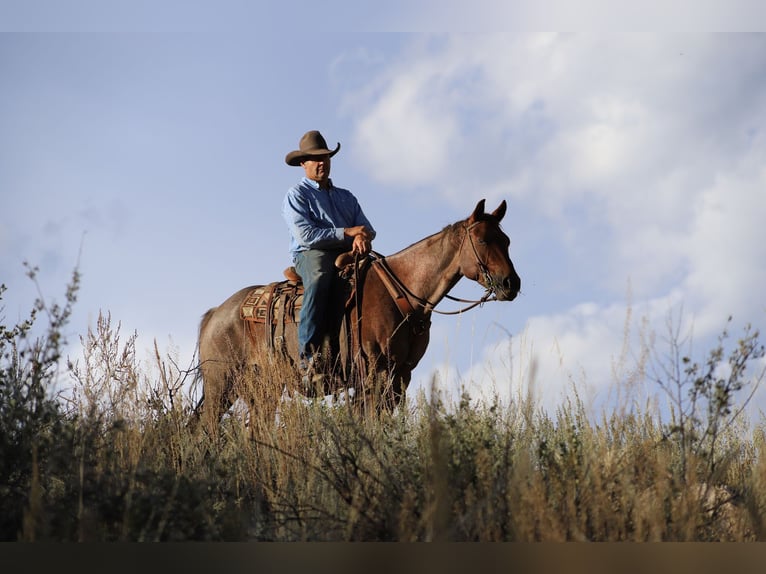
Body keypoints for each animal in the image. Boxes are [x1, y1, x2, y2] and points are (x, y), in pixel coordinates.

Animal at [195, 198, 524, 432]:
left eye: (507, 240)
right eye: (482, 240)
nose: (511, 283)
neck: (401, 293)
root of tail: (216, 313)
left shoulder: (400, 377)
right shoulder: (373, 373)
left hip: (261, 388)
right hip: (220, 384)